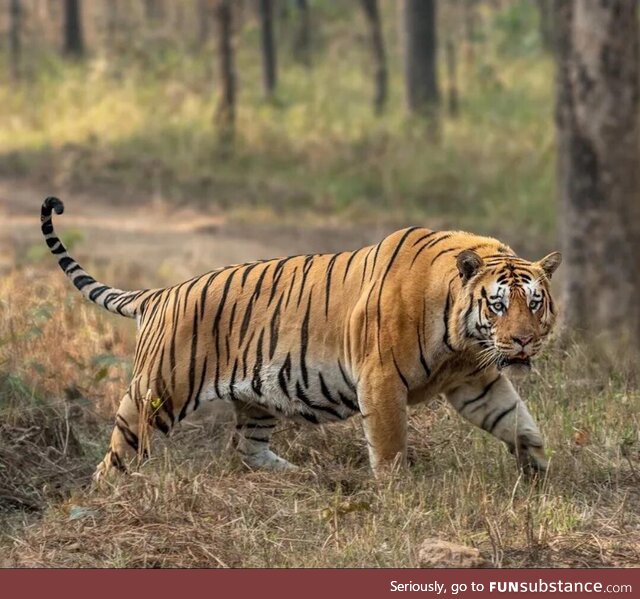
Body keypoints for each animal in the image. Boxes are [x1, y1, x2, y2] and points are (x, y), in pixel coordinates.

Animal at [40, 198, 560, 482]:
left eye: (534, 303)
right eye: (498, 305)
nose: (522, 342)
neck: (462, 339)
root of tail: (162, 293)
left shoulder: (475, 381)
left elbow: (519, 423)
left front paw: (539, 473)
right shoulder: (381, 381)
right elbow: (390, 445)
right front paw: (397, 492)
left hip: (257, 398)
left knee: (246, 451)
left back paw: (302, 476)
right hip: (156, 393)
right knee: (115, 461)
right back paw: (104, 501)